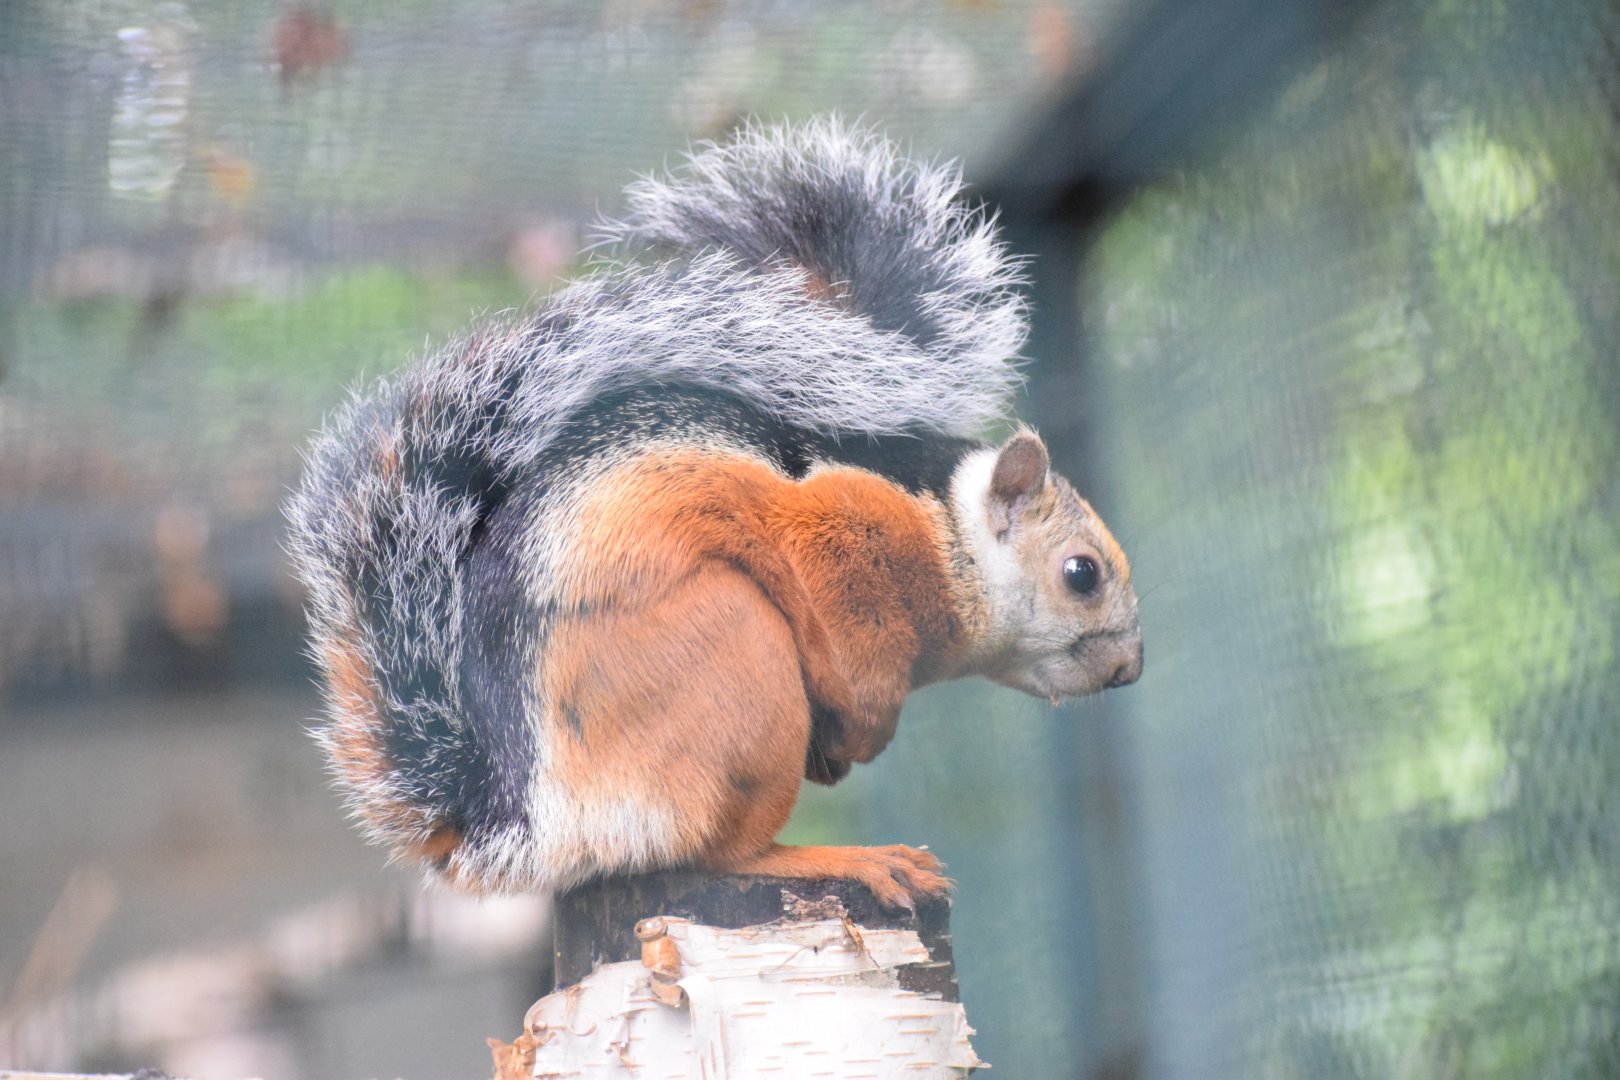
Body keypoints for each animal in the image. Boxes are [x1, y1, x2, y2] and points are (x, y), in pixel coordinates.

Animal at [285, 118, 1142, 911]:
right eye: (1082, 573)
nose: (1130, 670)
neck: (945, 529)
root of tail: (537, 826)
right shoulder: (840, 542)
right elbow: (849, 655)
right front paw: (865, 729)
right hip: (738, 663)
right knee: (724, 851)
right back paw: (839, 858)